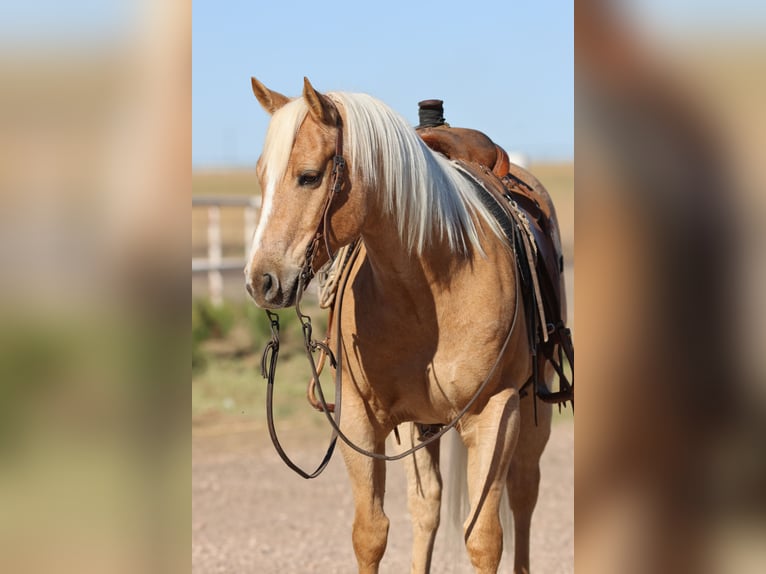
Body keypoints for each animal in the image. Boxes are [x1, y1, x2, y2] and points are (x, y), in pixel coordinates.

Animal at [245, 76, 560, 574]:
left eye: (309, 176)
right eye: (261, 176)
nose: (261, 280)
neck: (430, 284)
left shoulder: (497, 412)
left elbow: (485, 539)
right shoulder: (358, 416)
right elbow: (371, 533)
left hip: (534, 404)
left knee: (524, 491)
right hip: (421, 424)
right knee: (426, 506)